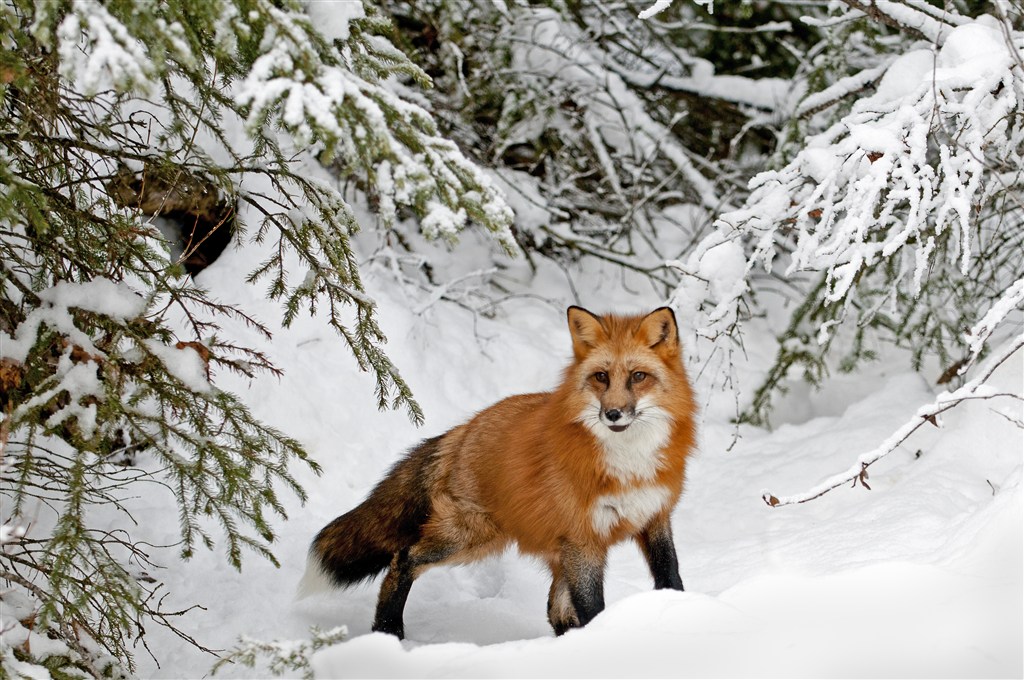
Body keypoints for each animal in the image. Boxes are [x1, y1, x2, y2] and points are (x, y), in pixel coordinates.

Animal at [296, 307, 696, 639]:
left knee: (555, 611)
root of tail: (466, 427)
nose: (612, 414)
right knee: (402, 559)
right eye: (601, 377)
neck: (629, 461)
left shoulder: (653, 516)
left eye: (638, 376)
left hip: (539, 548)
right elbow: (593, 608)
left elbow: (671, 576)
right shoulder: (585, 538)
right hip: (469, 536)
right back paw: (387, 631)